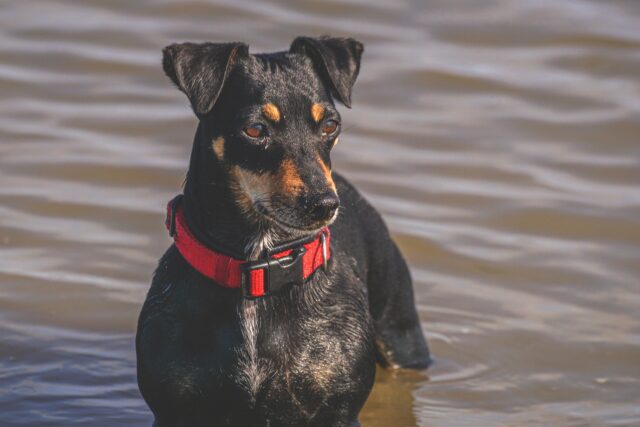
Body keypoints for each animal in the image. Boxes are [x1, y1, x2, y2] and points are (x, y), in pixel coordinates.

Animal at [138, 36, 432, 427]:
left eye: (330, 125)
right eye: (255, 130)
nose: (324, 204)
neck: (257, 267)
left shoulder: (339, 409)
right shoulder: (175, 408)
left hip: (401, 333)